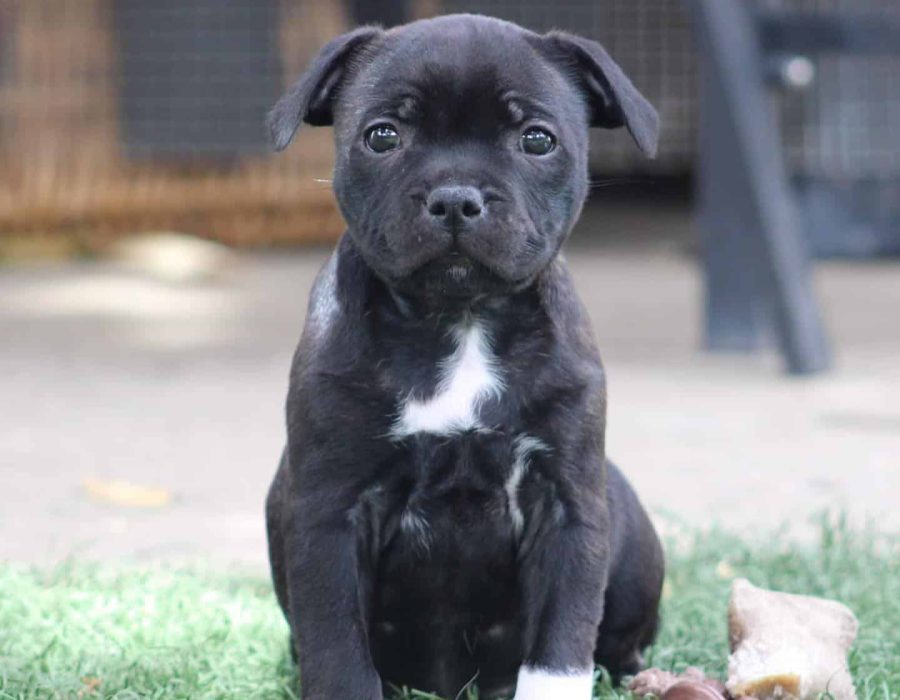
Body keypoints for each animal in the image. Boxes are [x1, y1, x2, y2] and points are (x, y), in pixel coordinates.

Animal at [264, 12, 664, 700]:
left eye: (536, 139)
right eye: (383, 136)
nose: (455, 197)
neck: (460, 320)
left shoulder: (569, 507)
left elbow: (560, 647)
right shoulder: (329, 511)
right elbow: (337, 649)